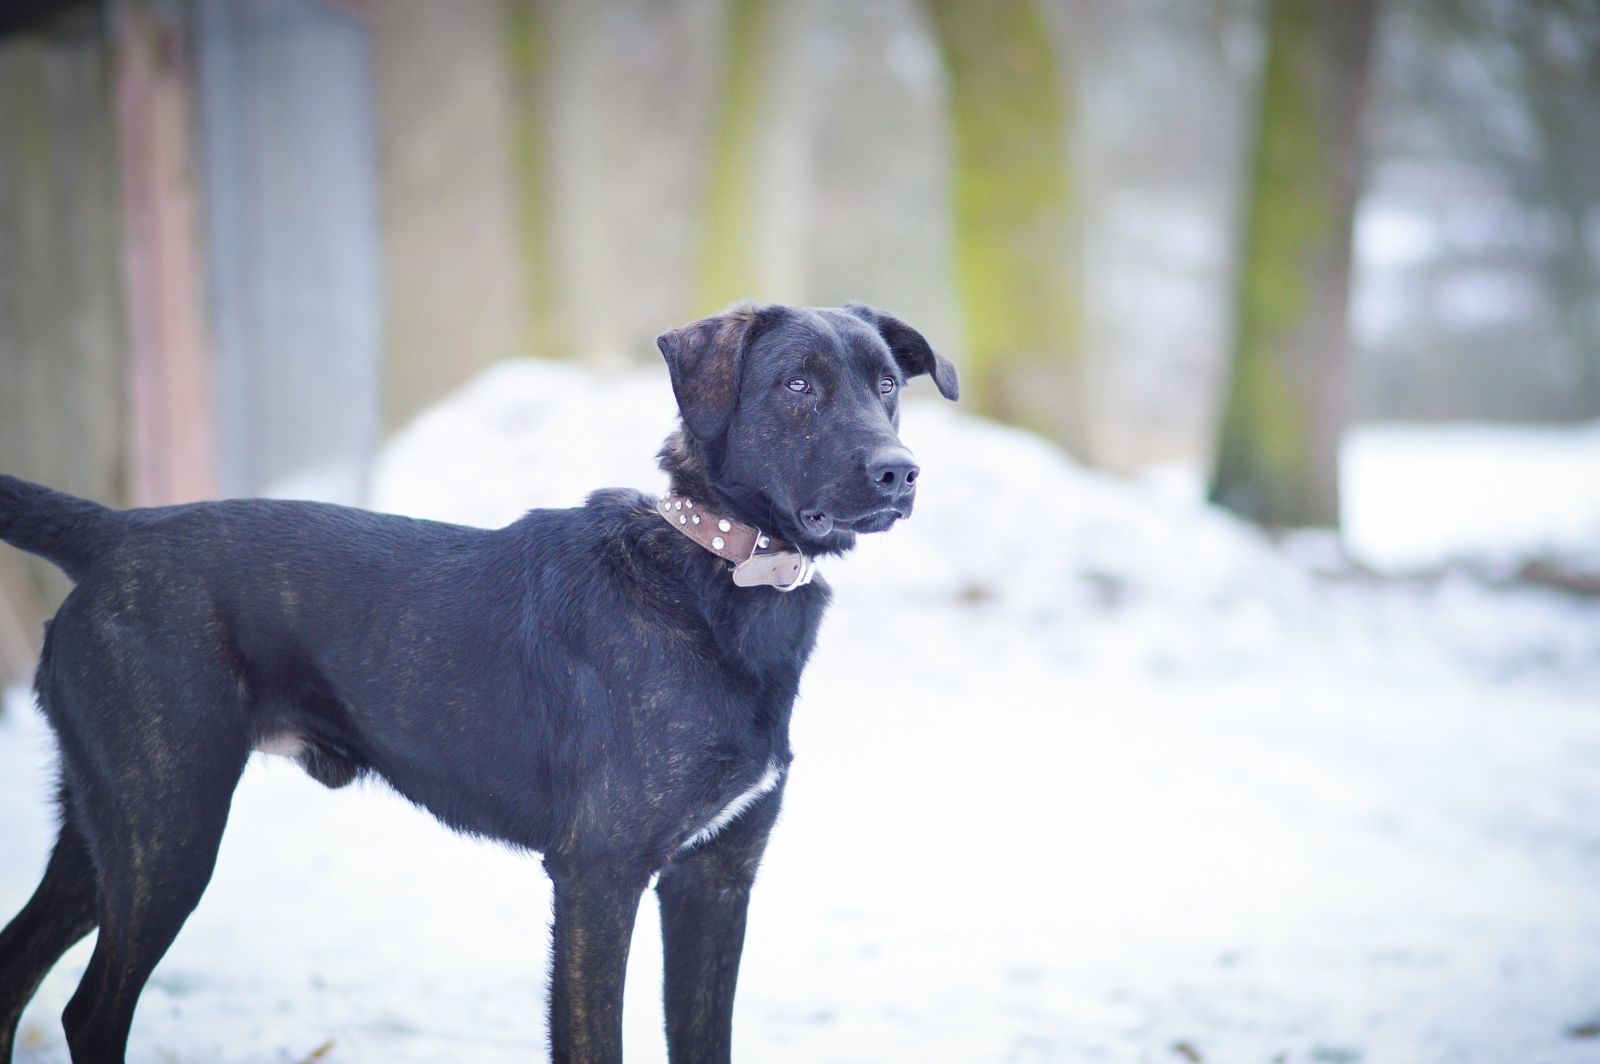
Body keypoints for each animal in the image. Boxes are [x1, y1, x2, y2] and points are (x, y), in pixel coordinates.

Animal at [0, 302, 958, 1063]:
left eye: (887, 385)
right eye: (798, 386)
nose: (901, 471)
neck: (717, 572)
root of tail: (116, 532)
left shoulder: (715, 880)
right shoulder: (599, 876)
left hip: (103, 825)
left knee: (18, 973)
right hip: (171, 825)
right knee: (91, 1010)